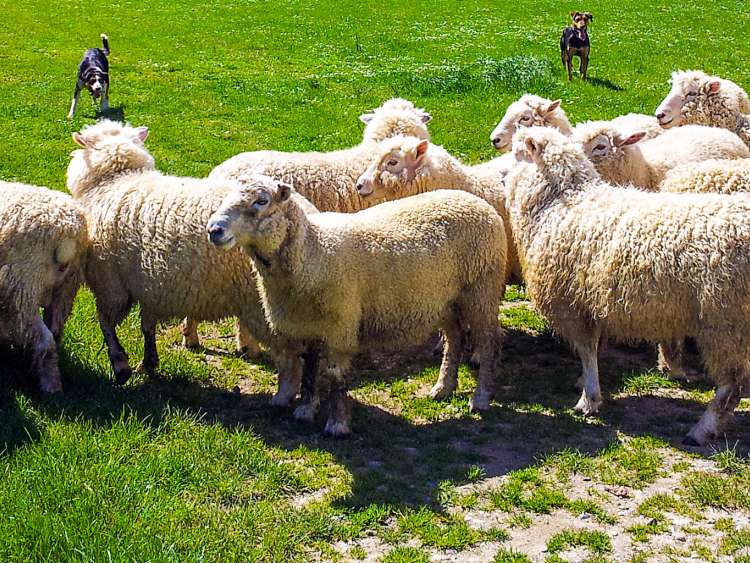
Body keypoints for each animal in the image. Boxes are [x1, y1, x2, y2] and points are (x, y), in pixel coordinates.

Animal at [0, 181, 88, 393]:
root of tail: (66, 232)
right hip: (65, 290)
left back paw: (50, 388)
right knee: (55, 335)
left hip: (23, 289)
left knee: (45, 340)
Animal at [67, 120, 309, 406]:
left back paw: (285, 397)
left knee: (292, 357)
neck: (114, 181)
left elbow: (105, 324)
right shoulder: (150, 285)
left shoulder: (110, 283)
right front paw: (149, 362)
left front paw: (121, 366)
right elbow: (147, 325)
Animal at [207, 180, 507, 437]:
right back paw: (443, 387)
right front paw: (305, 409)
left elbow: (335, 376)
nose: (214, 230)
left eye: (261, 200)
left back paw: (480, 397)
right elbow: (310, 368)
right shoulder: (307, 324)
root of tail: (477, 201)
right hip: (446, 300)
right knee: (455, 339)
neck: (313, 252)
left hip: (482, 290)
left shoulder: (341, 325)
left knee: (488, 342)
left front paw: (337, 424)